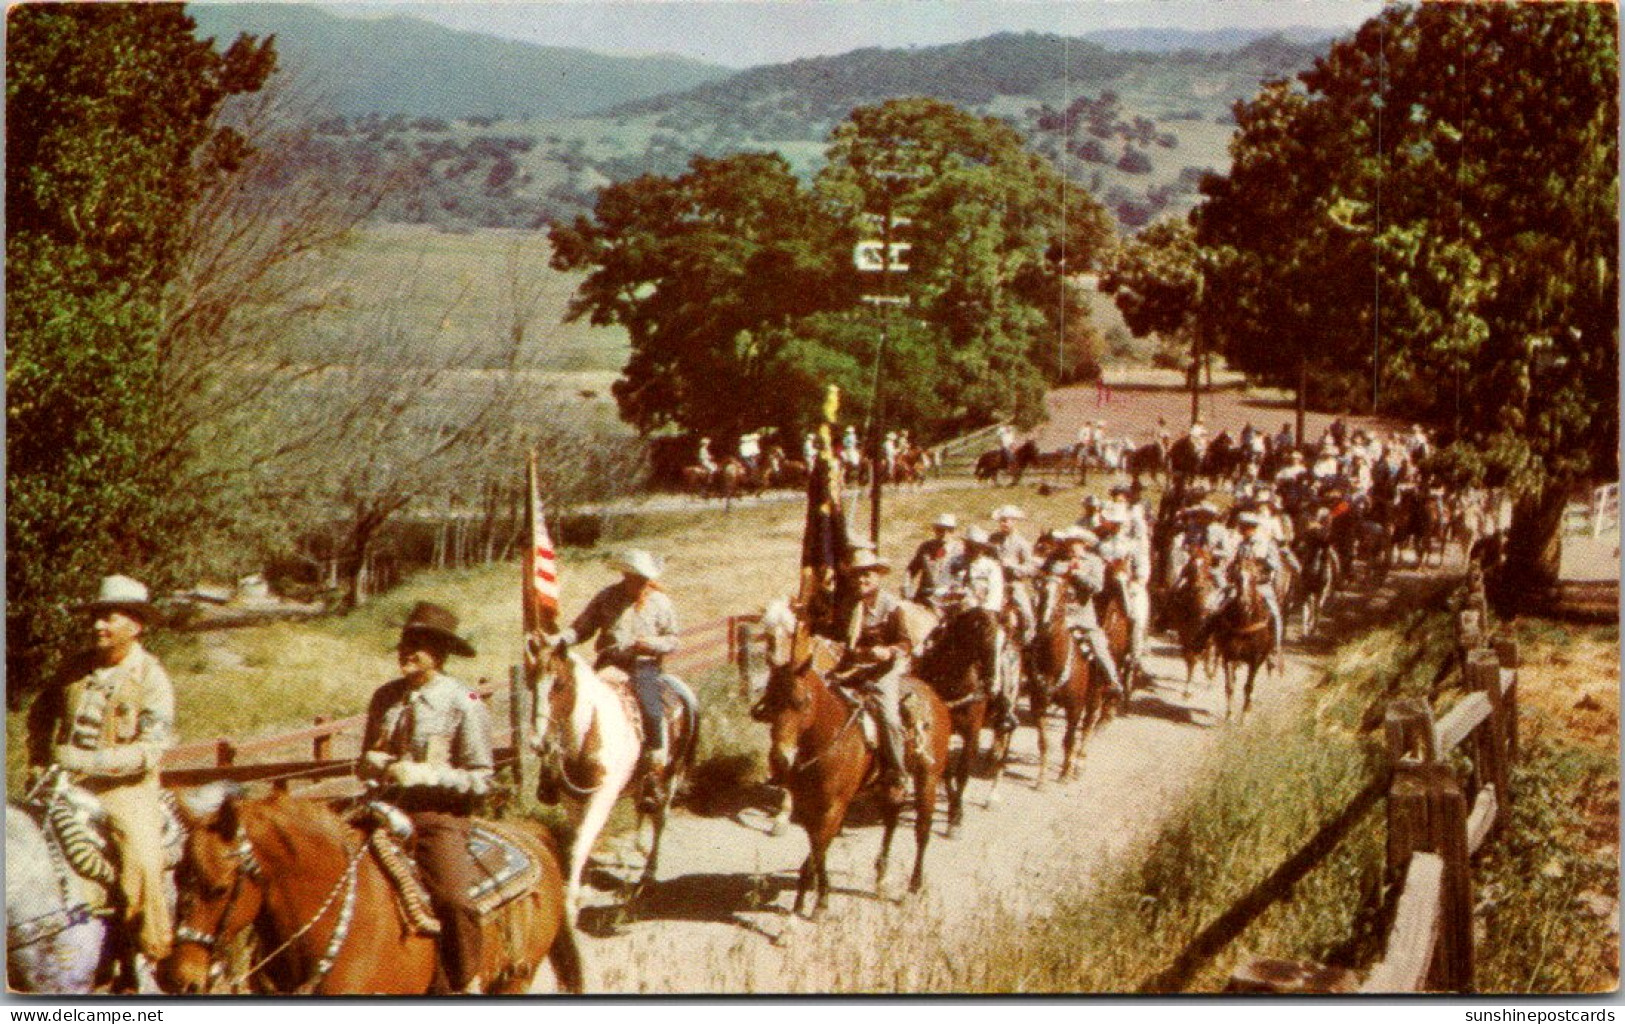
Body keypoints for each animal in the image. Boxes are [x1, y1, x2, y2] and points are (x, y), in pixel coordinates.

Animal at [526, 646, 692, 929]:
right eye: (530, 684)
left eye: (559, 685)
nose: (539, 743)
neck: (590, 733)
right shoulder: (572, 801)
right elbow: (579, 843)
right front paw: (579, 890)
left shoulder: (601, 799)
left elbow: (581, 844)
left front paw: (571, 907)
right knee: (643, 809)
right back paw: (639, 846)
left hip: (670, 777)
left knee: (660, 821)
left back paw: (649, 874)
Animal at [747, 611, 949, 923]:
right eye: (770, 700)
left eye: (801, 701)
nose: (780, 758)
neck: (827, 741)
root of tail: (934, 697)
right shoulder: (807, 805)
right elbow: (817, 845)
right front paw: (803, 895)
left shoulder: (834, 806)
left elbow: (821, 845)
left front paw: (819, 902)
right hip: (887, 786)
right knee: (891, 819)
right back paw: (881, 877)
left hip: (928, 778)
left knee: (922, 831)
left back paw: (913, 888)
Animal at [1215, 562, 1274, 721]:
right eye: (1237, 578)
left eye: (1254, 579)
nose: (1244, 603)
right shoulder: (1229, 656)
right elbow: (1230, 686)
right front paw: (1229, 715)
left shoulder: (1255, 660)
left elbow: (1248, 686)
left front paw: (1244, 716)